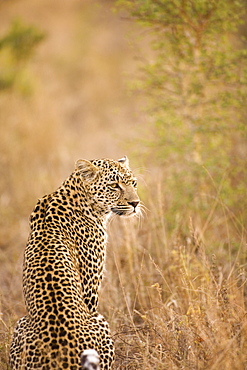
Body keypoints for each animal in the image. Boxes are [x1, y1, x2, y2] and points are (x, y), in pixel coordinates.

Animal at [9, 157, 140, 370]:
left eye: (133, 183)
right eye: (114, 185)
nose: (135, 203)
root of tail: (60, 360)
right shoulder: (90, 289)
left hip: (20, 325)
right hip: (99, 320)